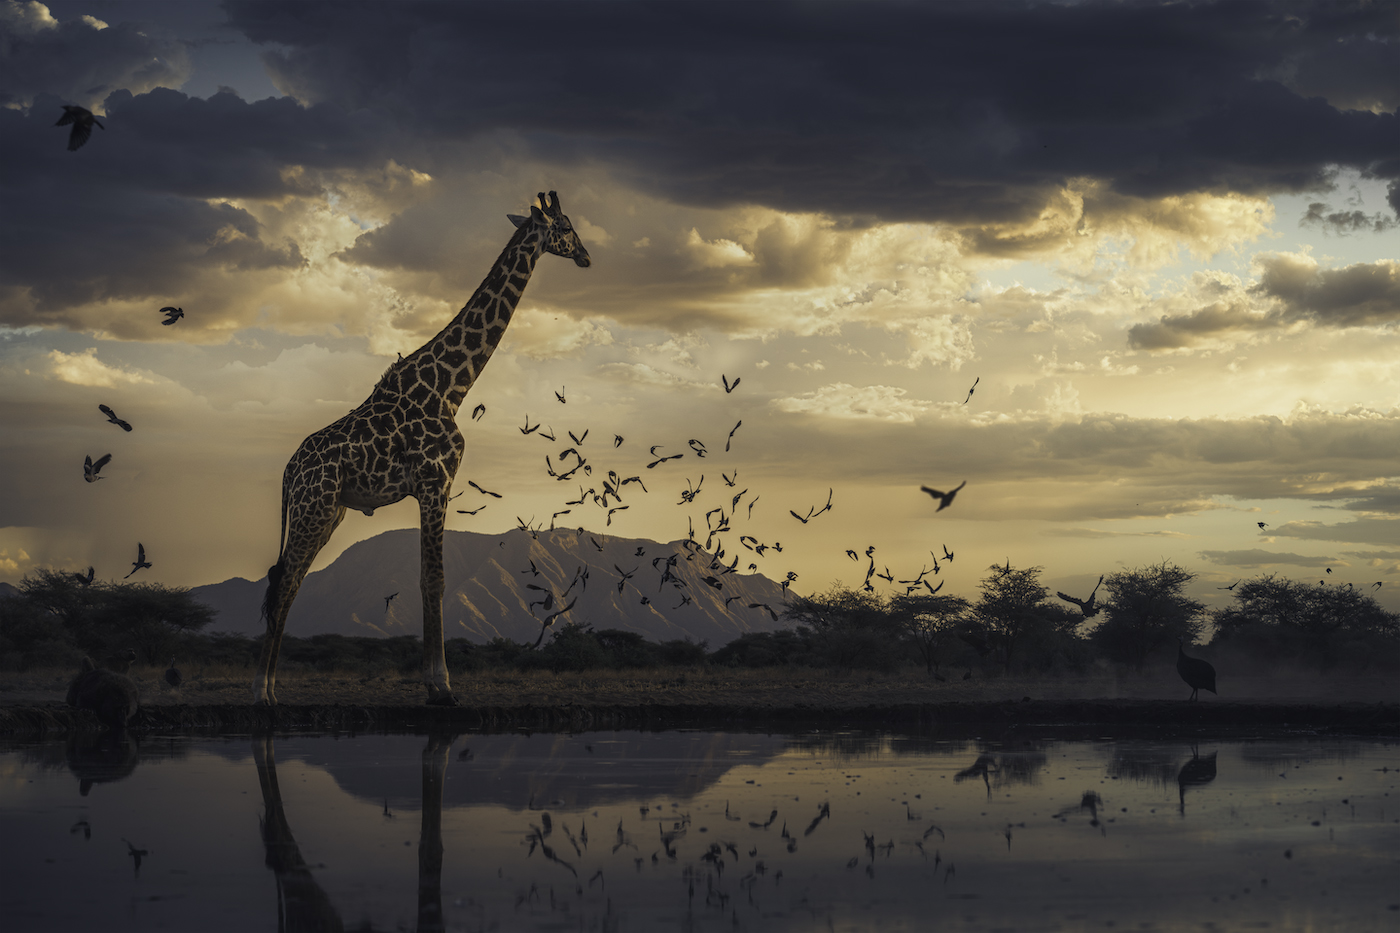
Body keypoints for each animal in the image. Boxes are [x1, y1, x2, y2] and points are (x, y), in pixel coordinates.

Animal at [253, 191, 591, 706]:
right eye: (566, 226)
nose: (587, 256)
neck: (452, 386)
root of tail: (290, 473)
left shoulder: (431, 488)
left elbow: (425, 579)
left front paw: (435, 682)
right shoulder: (437, 482)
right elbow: (435, 580)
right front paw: (441, 686)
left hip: (330, 511)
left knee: (289, 582)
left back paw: (270, 689)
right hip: (315, 508)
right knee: (287, 580)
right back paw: (263, 691)